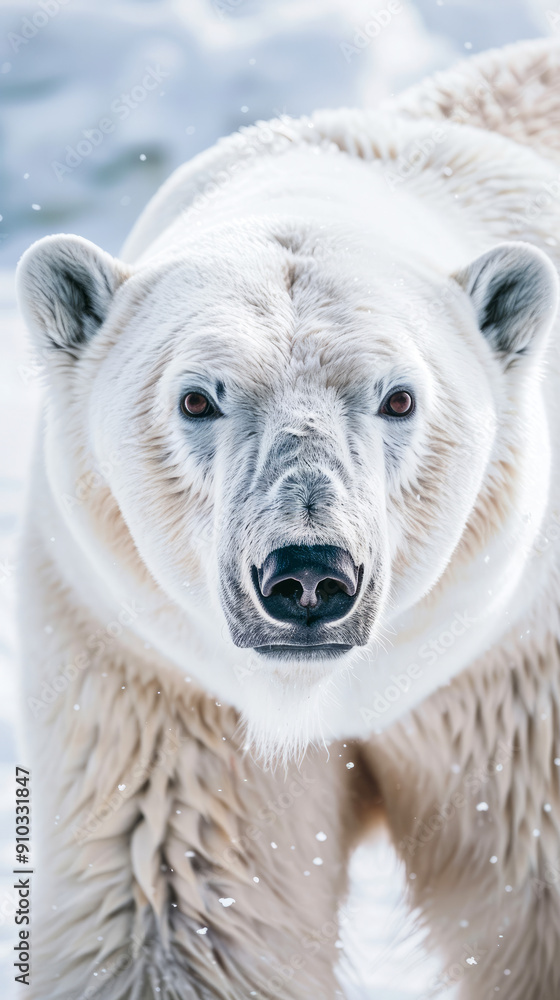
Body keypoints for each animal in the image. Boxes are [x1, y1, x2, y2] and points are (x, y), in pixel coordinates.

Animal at [13, 35, 560, 1000]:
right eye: (197, 398)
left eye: (399, 397)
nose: (309, 574)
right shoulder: (151, 681)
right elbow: (179, 900)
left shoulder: (511, 670)